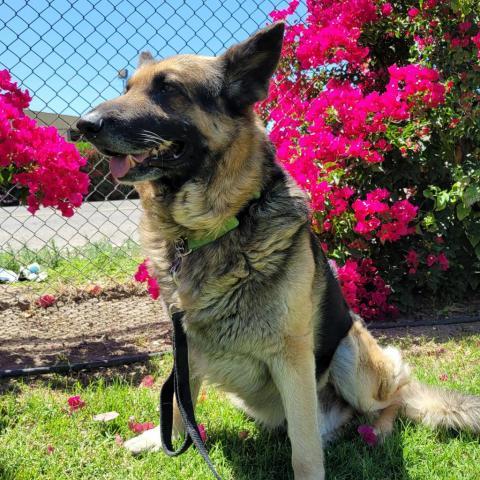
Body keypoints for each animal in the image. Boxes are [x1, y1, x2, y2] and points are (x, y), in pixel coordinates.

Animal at [77, 22, 478, 480]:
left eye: (168, 89)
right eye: (127, 88)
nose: (84, 125)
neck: (212, 228)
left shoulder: (292, 356)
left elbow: (303, 449)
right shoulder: (186, 344)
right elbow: (180, 400)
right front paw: (159, 439)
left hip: (351, 353)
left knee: (392, 398)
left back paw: (378, 430)